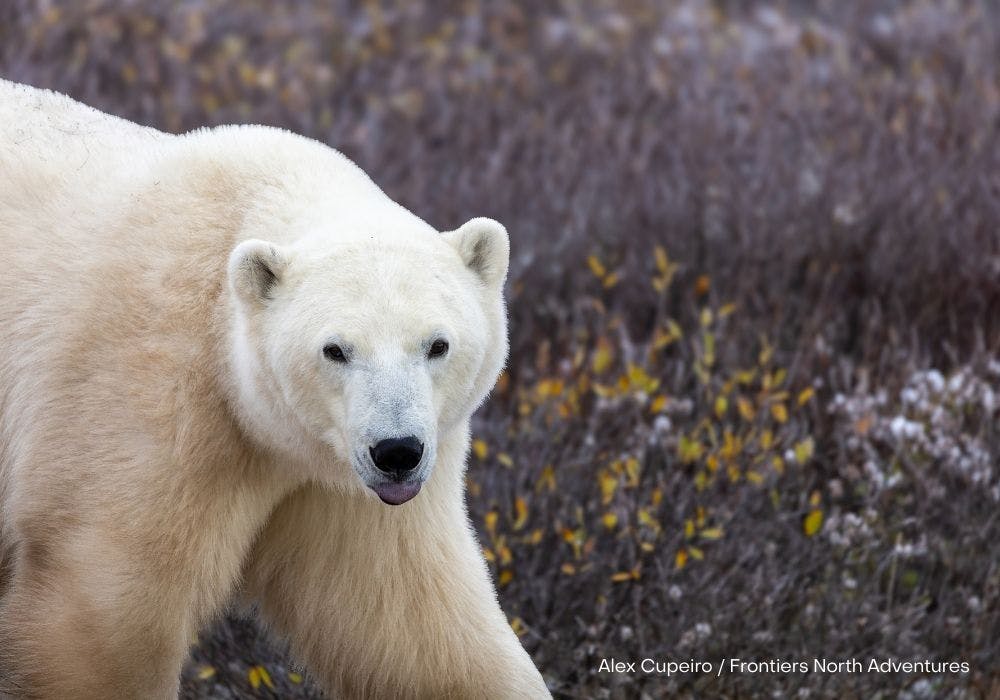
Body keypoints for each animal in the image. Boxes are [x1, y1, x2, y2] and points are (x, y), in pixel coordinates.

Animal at [0, 79, 550, 699]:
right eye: (335, 349)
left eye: (437, 345)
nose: (396, 452)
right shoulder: (144, 402)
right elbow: (102, 622)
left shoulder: (339, 483)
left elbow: (412, 623)